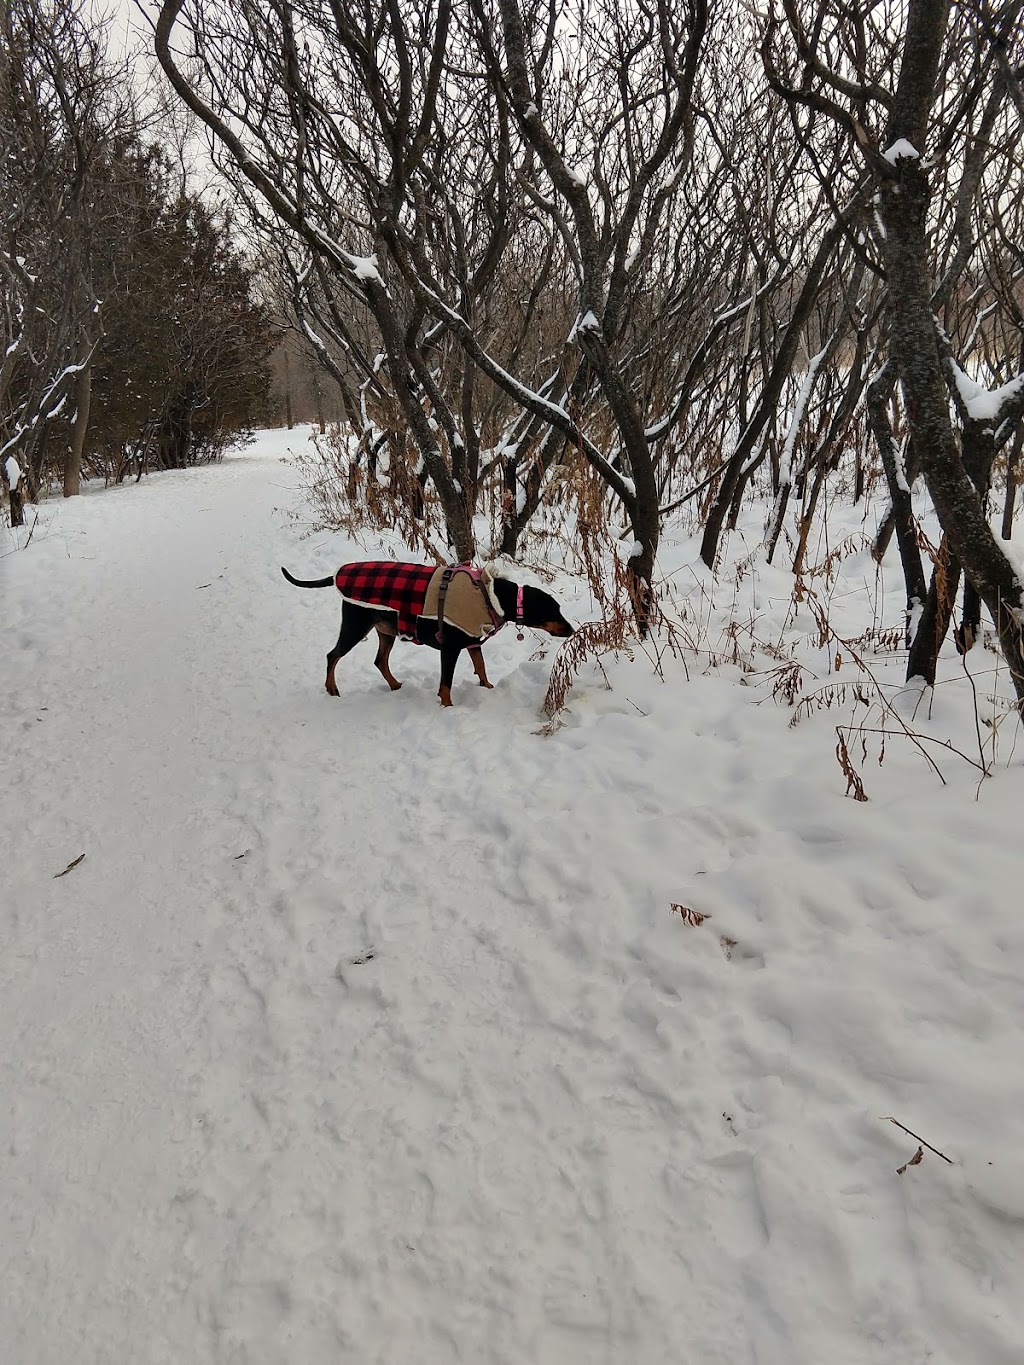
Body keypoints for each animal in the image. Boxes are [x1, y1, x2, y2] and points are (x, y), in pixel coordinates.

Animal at [281, 556, 573, 704]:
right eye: (554, 612)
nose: (571, 629)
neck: (493, 596)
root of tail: (337, 575)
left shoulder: (472, 642)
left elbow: (481, 667)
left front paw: (488, 688)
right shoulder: (450, 647)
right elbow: (446, 683)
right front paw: (448, 706)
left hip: (386, 629)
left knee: (380, 660)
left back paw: (394, 685)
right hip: (356, 626)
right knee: (333, 655)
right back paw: (332, 688)